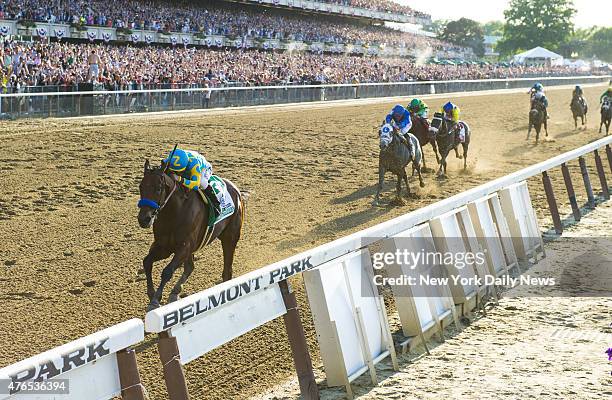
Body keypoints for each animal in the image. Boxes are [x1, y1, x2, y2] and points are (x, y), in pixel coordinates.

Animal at [137, 161, 246, 310]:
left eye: (158, 188)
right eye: (141, 187)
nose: (144, 219)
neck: (174, 212)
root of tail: (236, 190)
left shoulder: (184, 246)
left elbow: (167, 271)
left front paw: (155, 300)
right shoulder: (164, 247)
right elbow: (147, 262)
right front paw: (152, 294)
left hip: (230, 237)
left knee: (227, 271)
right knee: (190, 267)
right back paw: (175, 292)